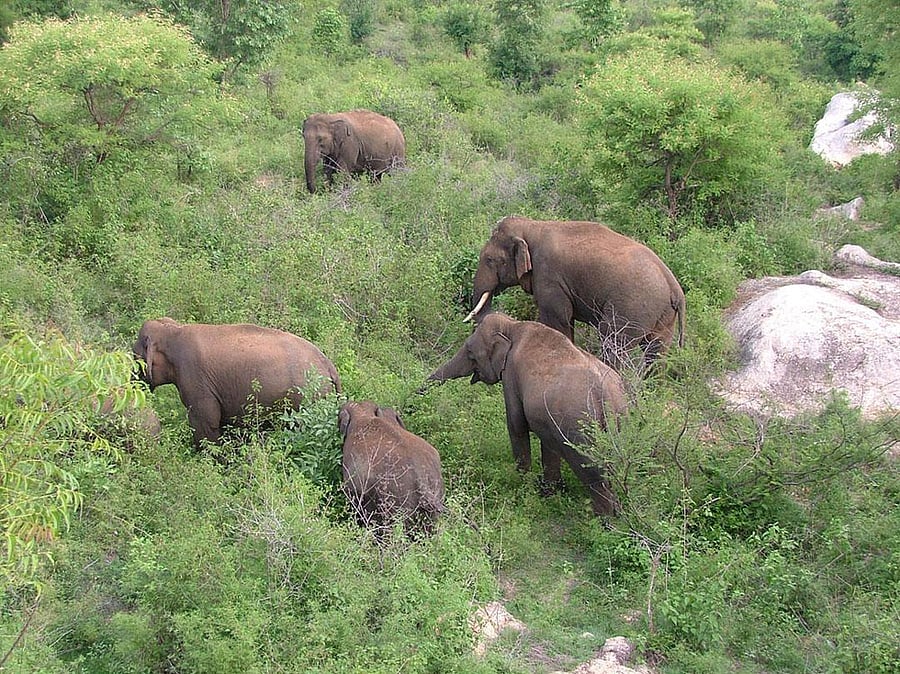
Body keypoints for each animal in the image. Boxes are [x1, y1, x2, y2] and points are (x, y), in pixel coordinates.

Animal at [132, 318, 341, 447]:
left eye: (134, 357)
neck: (174, 330)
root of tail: (329, 366)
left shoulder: (195, 380)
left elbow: (206, 425)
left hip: (307, 399)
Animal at [426, 313, 627, 516]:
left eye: (469, 352)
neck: (512, 325)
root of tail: (605, 395)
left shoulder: (511, 375)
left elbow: (516, 426)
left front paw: (523, 487)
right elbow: (548, 443)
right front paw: (549, 492)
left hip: (580, 428)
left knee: (594, 475)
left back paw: (603, 519)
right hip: (616, 422)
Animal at [465, 216, 686, 370]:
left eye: (490, 260)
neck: (533, 225)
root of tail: (675, 289)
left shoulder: (550, 278)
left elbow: (558, 321)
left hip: (633, 307)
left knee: (612, 338)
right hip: (664, 316)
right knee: (656, 352)